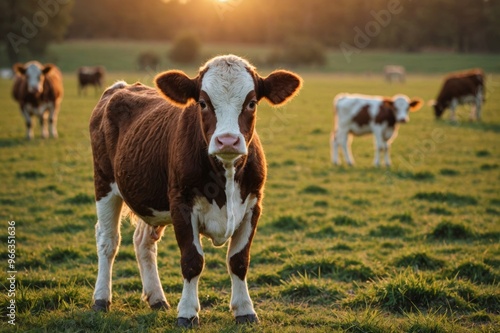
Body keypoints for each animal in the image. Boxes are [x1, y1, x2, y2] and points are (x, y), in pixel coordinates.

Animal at [88, 54, 302, 326]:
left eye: (252, 103)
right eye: (202, 103)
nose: (228, 140)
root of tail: (121, 87)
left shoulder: (254, 205)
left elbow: (239, 261)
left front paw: (245, 310)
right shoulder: (181, 204)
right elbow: (192, 260)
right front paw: (188, 312)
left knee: (143, 242)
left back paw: (157, 298)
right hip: (104, 183)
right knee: (108, 240)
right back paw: (101, 299)